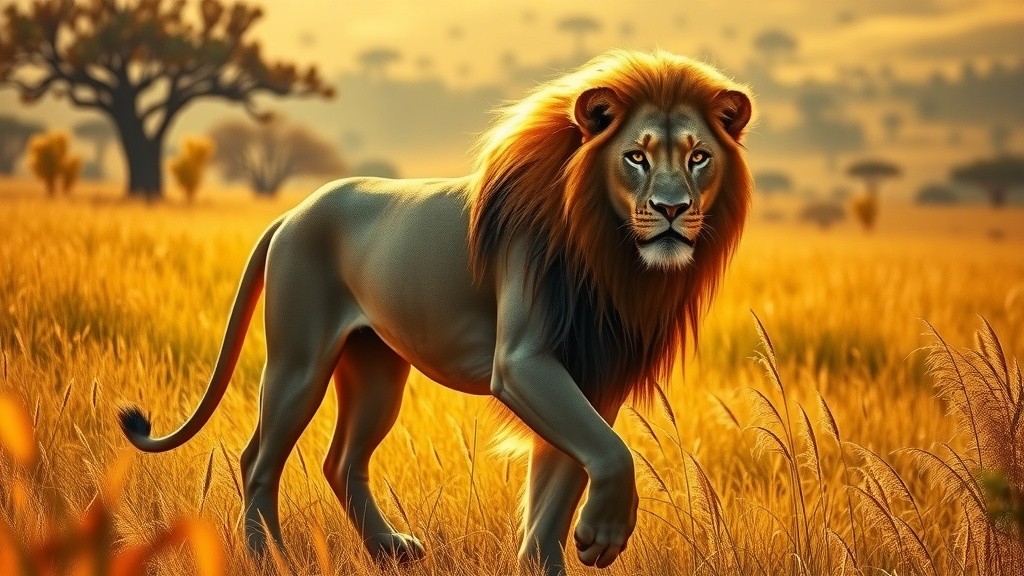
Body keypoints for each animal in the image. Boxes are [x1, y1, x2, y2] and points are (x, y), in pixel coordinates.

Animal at [118, 49, 753, 575]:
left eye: (699, 157)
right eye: (635, 157)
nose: (671, 209)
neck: (614, 255)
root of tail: (292, 212)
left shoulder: (593, 376)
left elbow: (562, 484)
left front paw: (549, 556)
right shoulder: (522, 362)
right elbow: (611, 454)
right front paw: (603, 534)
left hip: (376, 370)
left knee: (342, 461)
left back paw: (390, 550)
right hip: (299, 362)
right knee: (258, 460)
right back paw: (269, 557)